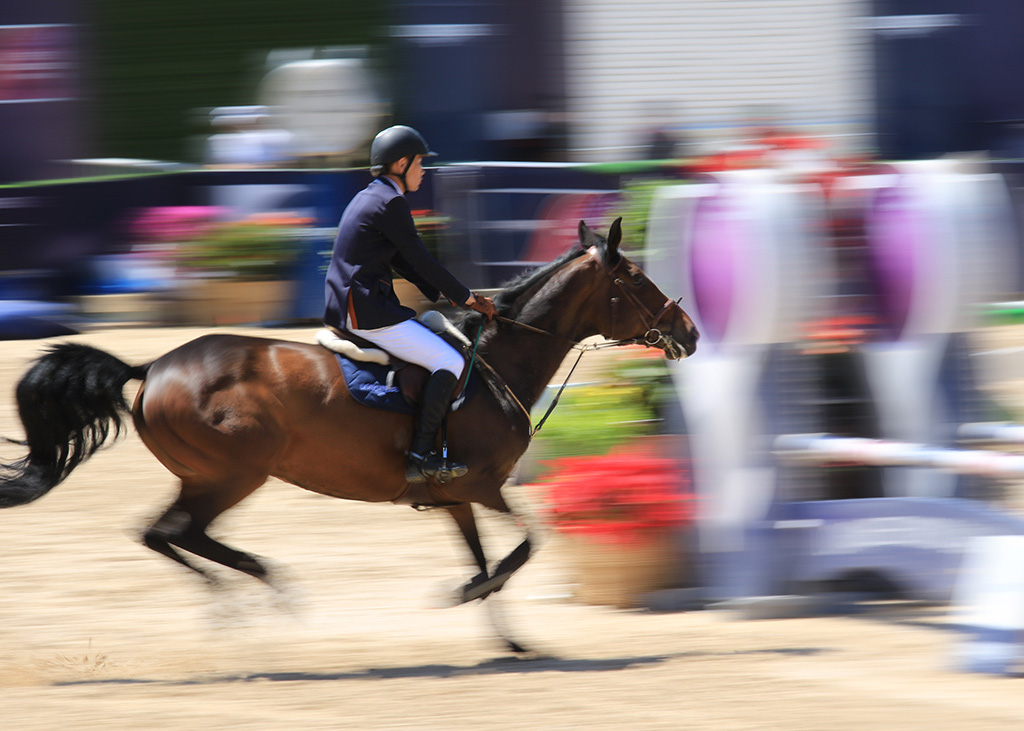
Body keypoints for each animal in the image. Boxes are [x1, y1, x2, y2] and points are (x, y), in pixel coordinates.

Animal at [0, 216, 696, 651]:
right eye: (636, 279)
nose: (687, 332)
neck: (496, 359)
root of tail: (152, 366)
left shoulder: (457, 496)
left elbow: (486, 558)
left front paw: (504, 633)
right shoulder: (482, 485)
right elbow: (526, 546)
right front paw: (470, 596)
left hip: (210, 476)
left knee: (166, 534)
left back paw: (248, 597)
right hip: (233, 474)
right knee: (175, 532)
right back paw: (257, 594)